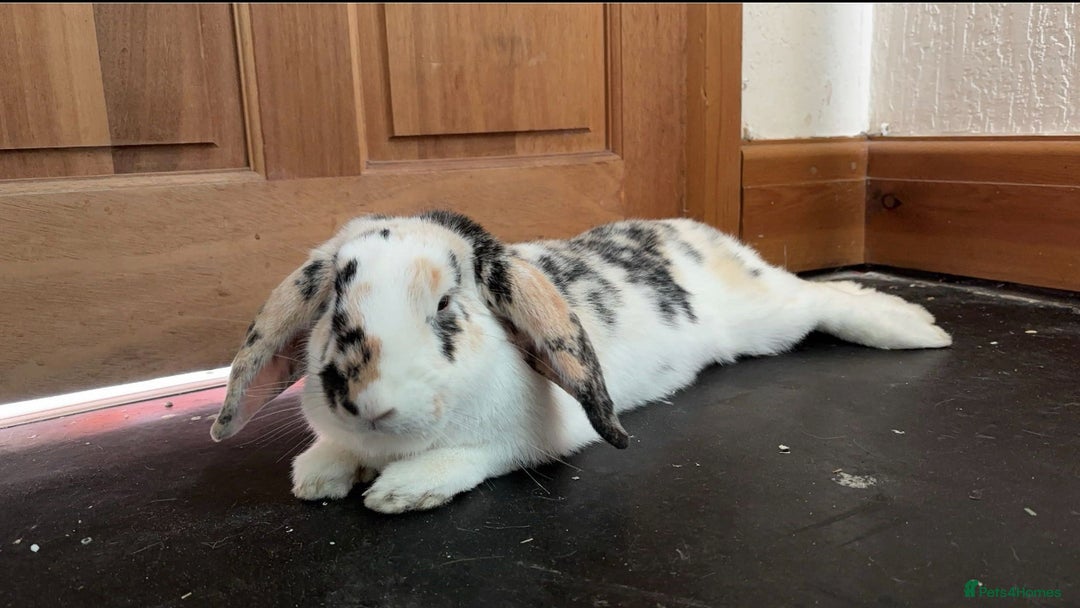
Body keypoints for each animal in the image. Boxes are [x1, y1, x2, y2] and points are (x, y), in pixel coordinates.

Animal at [209, 210, 951, 513]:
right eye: (334, 304)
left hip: (769, 316)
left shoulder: (529, 437)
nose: (370, 404)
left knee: (823, 296)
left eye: (447, 306)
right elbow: (332, 453)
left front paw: (403, 491)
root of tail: (694, 232)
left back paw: (916, 326)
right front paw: (319, 477)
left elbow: (471, 455)